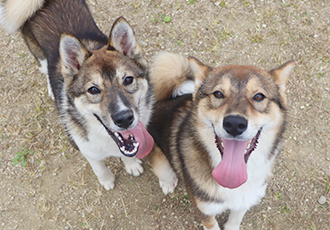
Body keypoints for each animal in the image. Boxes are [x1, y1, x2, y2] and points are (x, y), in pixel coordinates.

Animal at [0, 0, 155, 190]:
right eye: (93, 89)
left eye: (128, 80)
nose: (125, 118)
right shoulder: (86, 149)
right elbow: (99, 167)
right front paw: (107, 181)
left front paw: (131, 164)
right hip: (39, 55)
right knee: (44, 68)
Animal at [147, 52, 294, 230]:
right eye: (218, 94)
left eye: (259, 96)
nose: (235, 124)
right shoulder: (203, 208)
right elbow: (212, 224)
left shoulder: (245, 199)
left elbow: (236, 218)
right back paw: (167, 182)